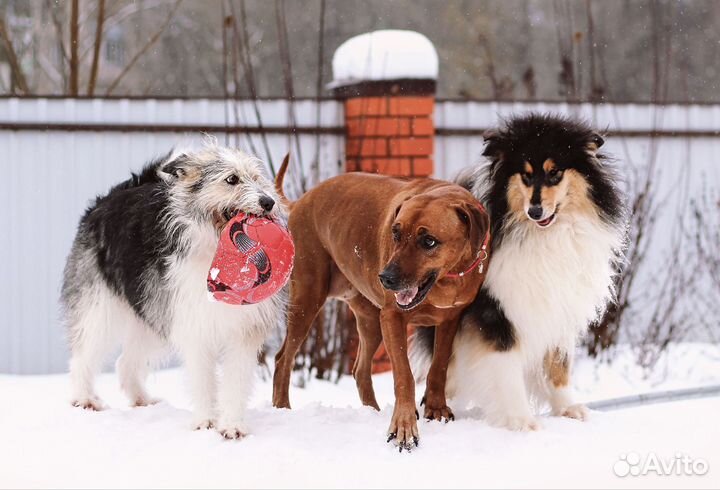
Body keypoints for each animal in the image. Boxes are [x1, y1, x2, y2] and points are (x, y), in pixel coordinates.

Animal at [62, 144, 286, 438]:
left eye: (257, 178)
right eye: (232, 179)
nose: (268, 202)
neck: (214, 247)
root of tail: (112, 195)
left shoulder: (243, 328)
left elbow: (236, 379)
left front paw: (232, 426)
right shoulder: (193, 323)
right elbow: (202, 379)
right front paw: (205, 423)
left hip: (150, 311)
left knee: (126, 362)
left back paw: (141, 400)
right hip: (101, 306)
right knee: (83, 354)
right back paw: (84, 398)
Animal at [272, 159, 490, 450]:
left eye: (429, 241)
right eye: (395, 233)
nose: (386, 278)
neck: (447, 278)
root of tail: (301, 201)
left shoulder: (450, 319)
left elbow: (439, 366)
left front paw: (436, 408)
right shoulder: (392, 318)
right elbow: (404, 376)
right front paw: (404, 427)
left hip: (369, 318)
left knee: (360, 370)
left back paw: (372, 412)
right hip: (308, 298)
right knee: (283, 358)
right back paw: (282, 408)